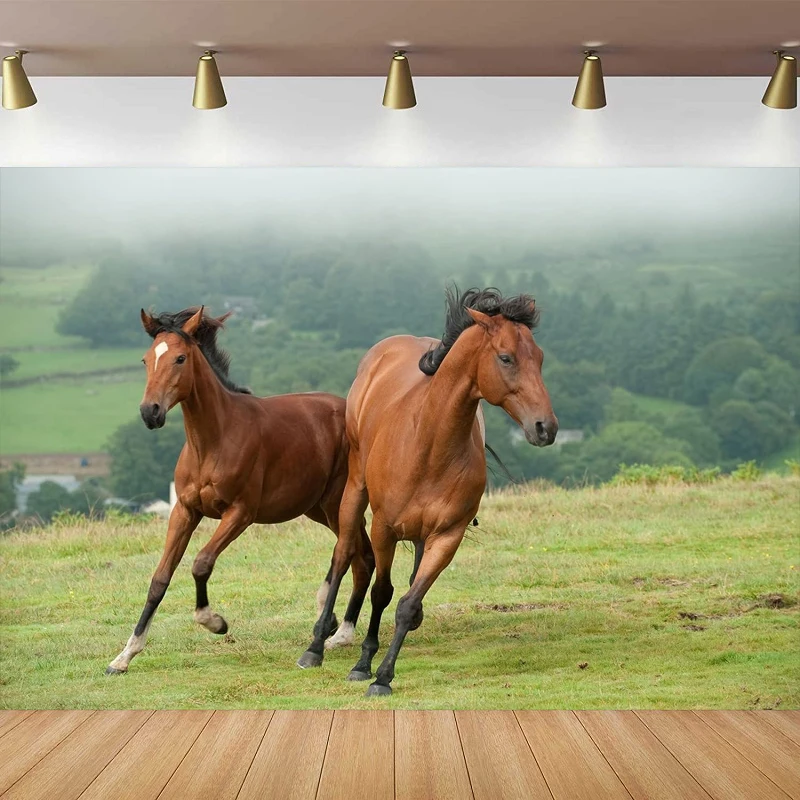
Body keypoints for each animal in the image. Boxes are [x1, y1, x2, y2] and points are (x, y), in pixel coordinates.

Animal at [106, 306, 372, 674]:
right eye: (146, 359)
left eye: (180, 358)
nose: (150, 412)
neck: (213, 441)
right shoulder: (185, 511)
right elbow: (159, 579)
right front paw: (124, 656)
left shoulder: (240, 514)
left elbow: (201, 563)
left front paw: (215, 622)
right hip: (316, 508)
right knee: (364, 555)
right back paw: (338, 628)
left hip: (337, 505)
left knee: (351, 554)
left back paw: (334, 630)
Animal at [297, 287, 558, 695]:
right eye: (506, 357)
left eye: (541, 358)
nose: (546, 427)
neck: (429, 444)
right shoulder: (384, 528)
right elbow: (382, 592)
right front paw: (363, 664)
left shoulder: (447, 536)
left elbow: (406, 602)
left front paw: (384, 676)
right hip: (354, 490)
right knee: (343, 558)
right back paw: (316, 645)